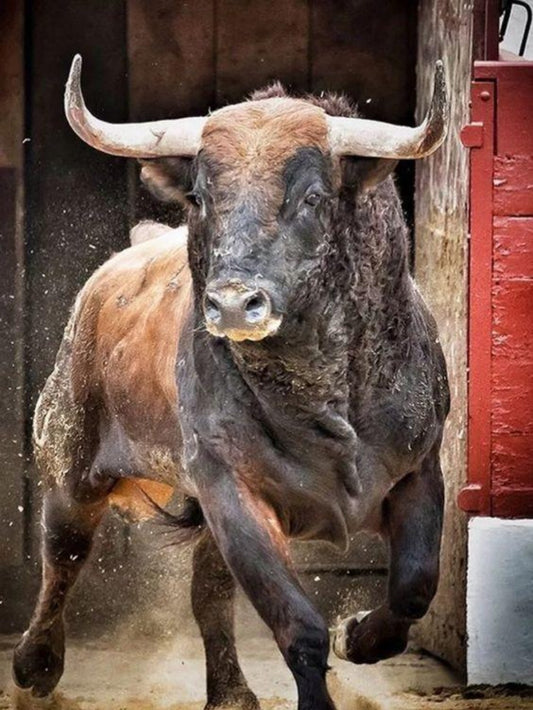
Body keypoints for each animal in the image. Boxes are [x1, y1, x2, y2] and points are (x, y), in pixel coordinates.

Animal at [13, 55, 449, 710]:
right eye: (200, 196)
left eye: (314, 196)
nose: (234, 304)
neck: (327, 403)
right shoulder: (232, 493)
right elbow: (297, 625)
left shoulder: (419, 470)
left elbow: (414, 588)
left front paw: (356, 635)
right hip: (71, 459)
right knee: (63, 549)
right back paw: (36, 664)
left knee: (207, 587)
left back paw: (232, 693)